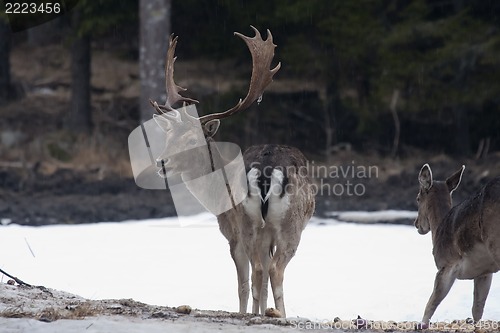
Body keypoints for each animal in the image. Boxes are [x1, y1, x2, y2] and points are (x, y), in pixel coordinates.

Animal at [148, 26, 314, 316]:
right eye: (169, 137)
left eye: (192, 140)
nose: (162, 162)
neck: (216, 197)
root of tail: (266, 171)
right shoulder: (250, 233)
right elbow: (254, 283)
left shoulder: (235, 230)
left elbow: (247, 284)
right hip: (278, 225)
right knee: (268, 270)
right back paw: (276, 314)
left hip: (256, 223)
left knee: (264, 271)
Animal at [414, 162, 500, 326]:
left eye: (417, 198)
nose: (416, 224)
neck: (438, 229)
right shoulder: (485, 271)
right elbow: (477, 309)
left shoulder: (446, 264)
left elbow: (431, 303)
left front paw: (421, 324)